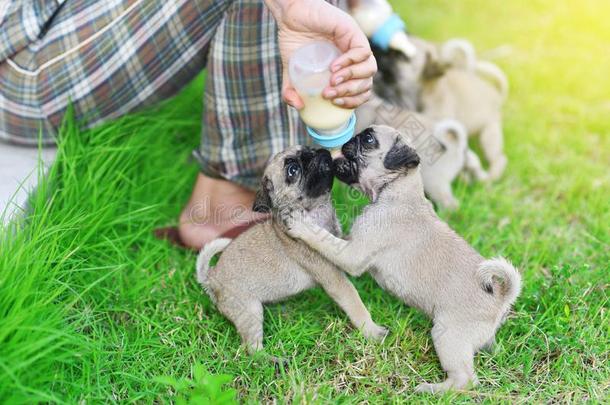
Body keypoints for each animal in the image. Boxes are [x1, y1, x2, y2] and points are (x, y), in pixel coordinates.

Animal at [195, 145, 384, 354]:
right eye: (293, 170)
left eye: (309, 149)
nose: (320, 151)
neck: (315, 209)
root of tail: (211, 277)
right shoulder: (334, 278)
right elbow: (354, 301)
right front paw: (372, 331)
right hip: (249, 310)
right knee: (251, 350)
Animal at [284, 125, 516, 392]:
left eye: (369, 140)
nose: (347, 140)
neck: (397, 189)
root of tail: (501, 297)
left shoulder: (352, 254)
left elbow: (323, 239)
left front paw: (301, 225)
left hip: (447, 335)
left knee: (465, 379)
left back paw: (432, 390)